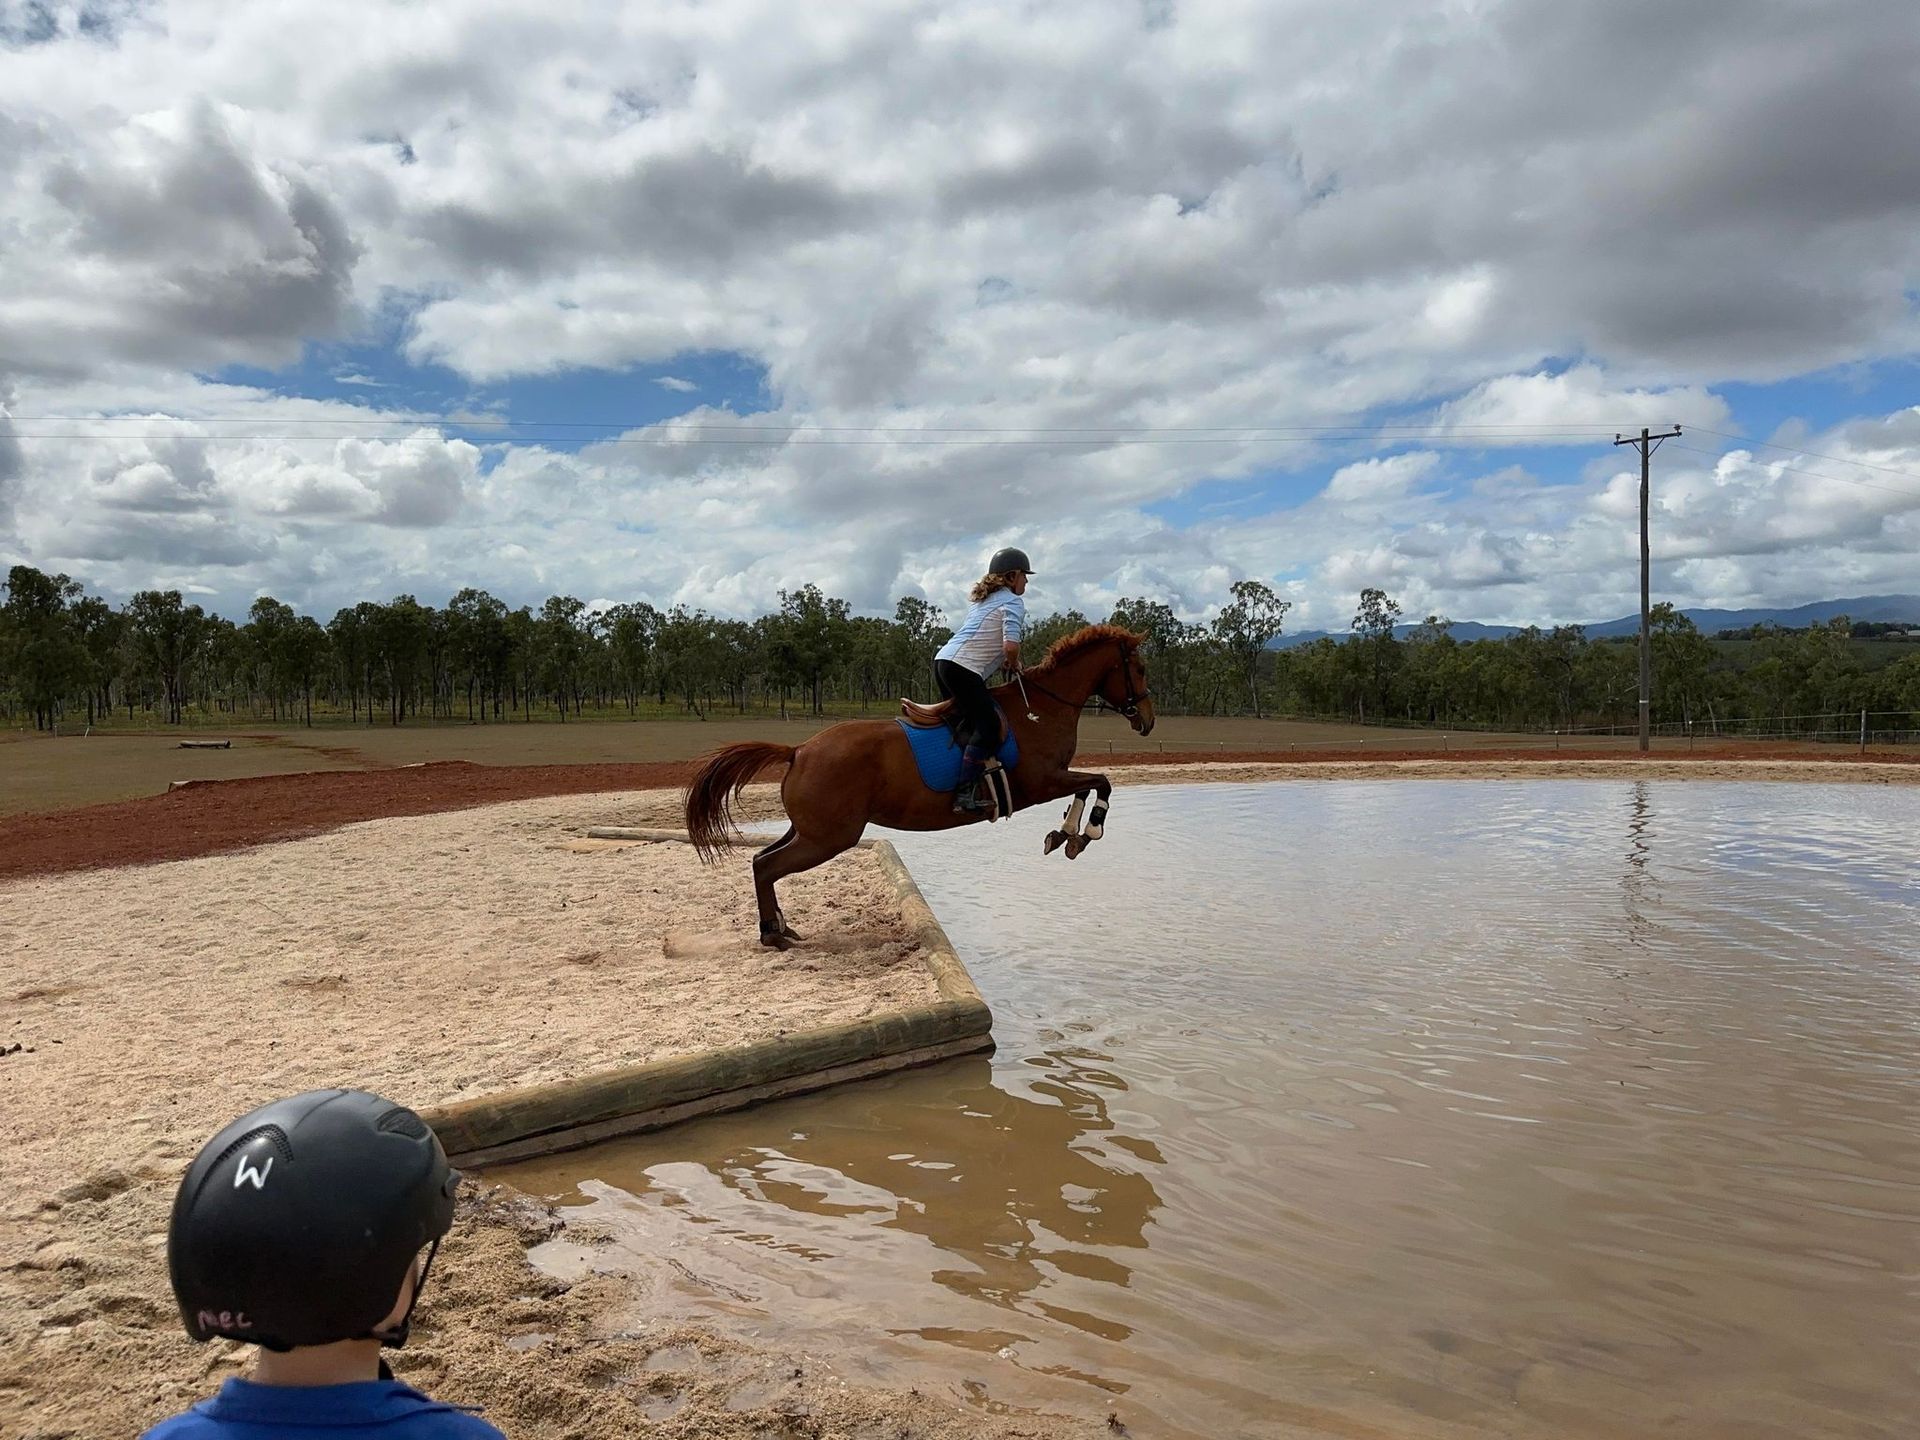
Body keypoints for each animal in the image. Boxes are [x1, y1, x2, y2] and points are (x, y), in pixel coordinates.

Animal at [684, 623, 1156, 946]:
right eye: (1139, 668)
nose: (1148, 721)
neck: (1040, 708)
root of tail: (799, 749)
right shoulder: (1042, 782)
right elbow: (1101, 783)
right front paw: (1086, 832)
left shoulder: (1055, 779)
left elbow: (1087, 787)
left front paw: (1066, 834)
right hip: (828, 837)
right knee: (767, 866)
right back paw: (772, 933)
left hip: (810, 830)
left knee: (761, 859)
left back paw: (780, 926)